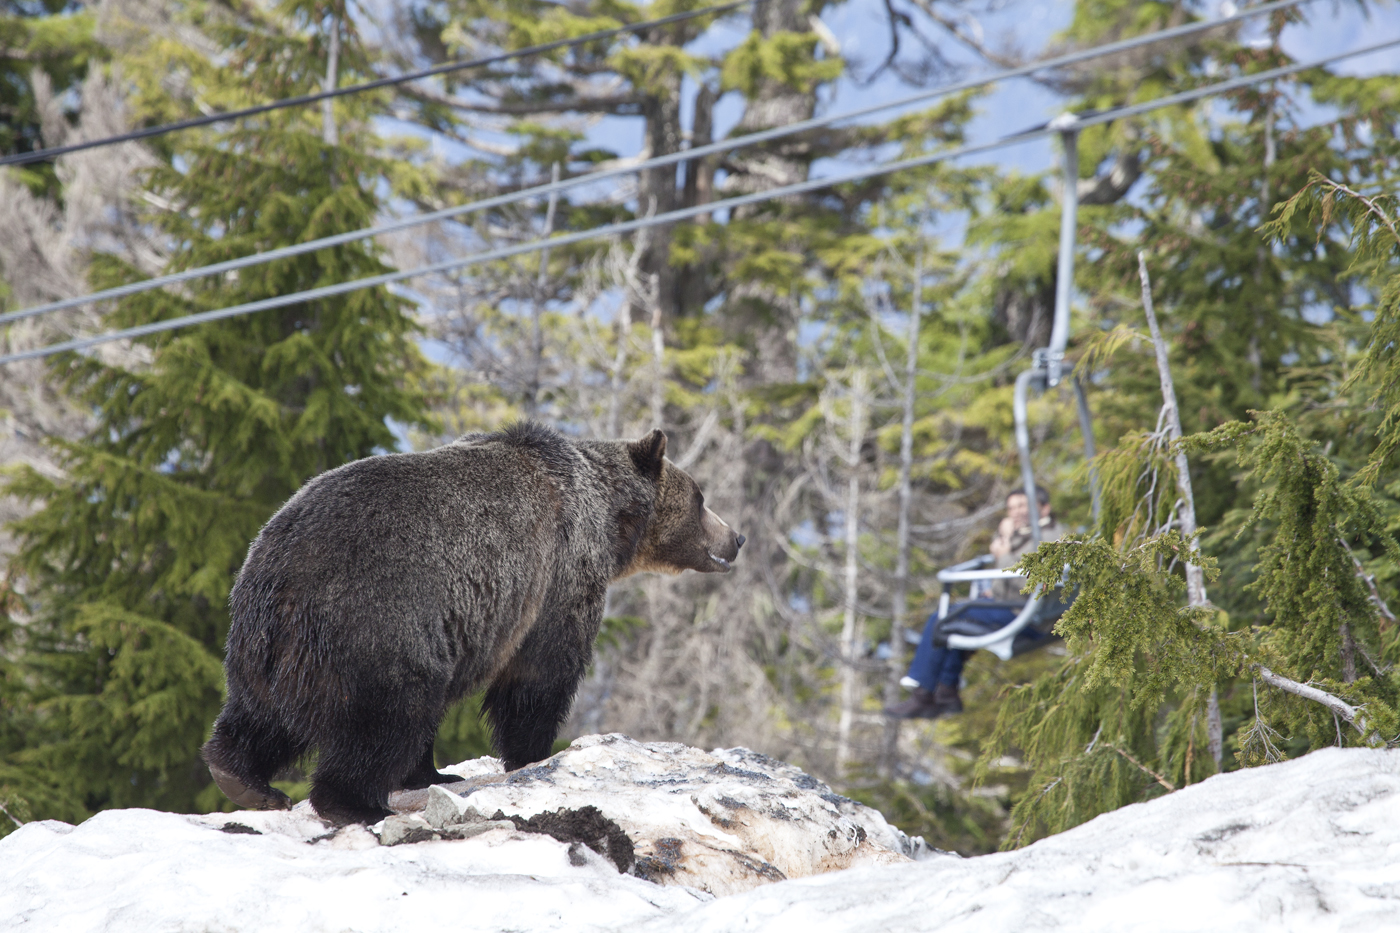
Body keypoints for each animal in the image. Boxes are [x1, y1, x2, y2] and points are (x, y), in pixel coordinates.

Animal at [202, 422, 743, 824]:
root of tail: (280, 575)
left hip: (267, 647)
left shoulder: (462, 620)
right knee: (386, 718)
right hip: (374, 624)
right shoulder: (557, 576)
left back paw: (244, 780)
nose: (736, 537)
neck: (613, 522)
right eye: (700, 498)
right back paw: (356, 805)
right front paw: (532, 755)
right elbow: (540, 674)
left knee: (259, 716)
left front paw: (435, 774)